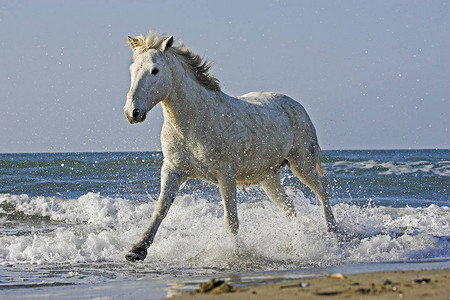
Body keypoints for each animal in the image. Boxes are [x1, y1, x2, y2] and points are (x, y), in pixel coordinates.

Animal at [123, 32, 338, 262]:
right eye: (132, 69)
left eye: (155, 70)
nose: (132, 112)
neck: (194, 121)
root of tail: (298, 106)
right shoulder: (173, 169)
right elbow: (161, 209)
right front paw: (137, 250)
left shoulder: (225, 174)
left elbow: (231, 220)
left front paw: (238, 253)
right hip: (269, 177)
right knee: (289, 207)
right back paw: (294, 242)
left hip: (302, 164)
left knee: (322, 191)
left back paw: (333, 232)